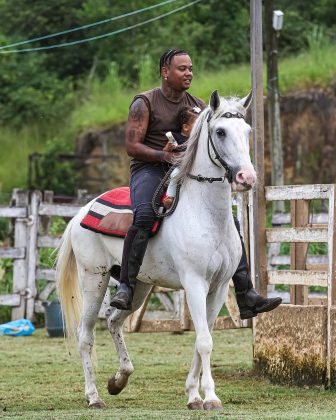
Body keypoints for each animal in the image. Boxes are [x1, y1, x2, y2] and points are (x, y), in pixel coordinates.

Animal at [57, 91, 258, 410]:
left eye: (248, 131)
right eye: (220, 132)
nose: (245, 178)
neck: (203, 213)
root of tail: (81, 212)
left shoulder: (217, 287)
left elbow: (203, 337)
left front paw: (193, 395)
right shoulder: (195, 283)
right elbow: (204, 341)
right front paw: (210, 397)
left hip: (136, 285)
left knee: (114, 321)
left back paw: (119, 379)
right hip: (93, 279)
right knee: (85, 335)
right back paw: (94, 396)